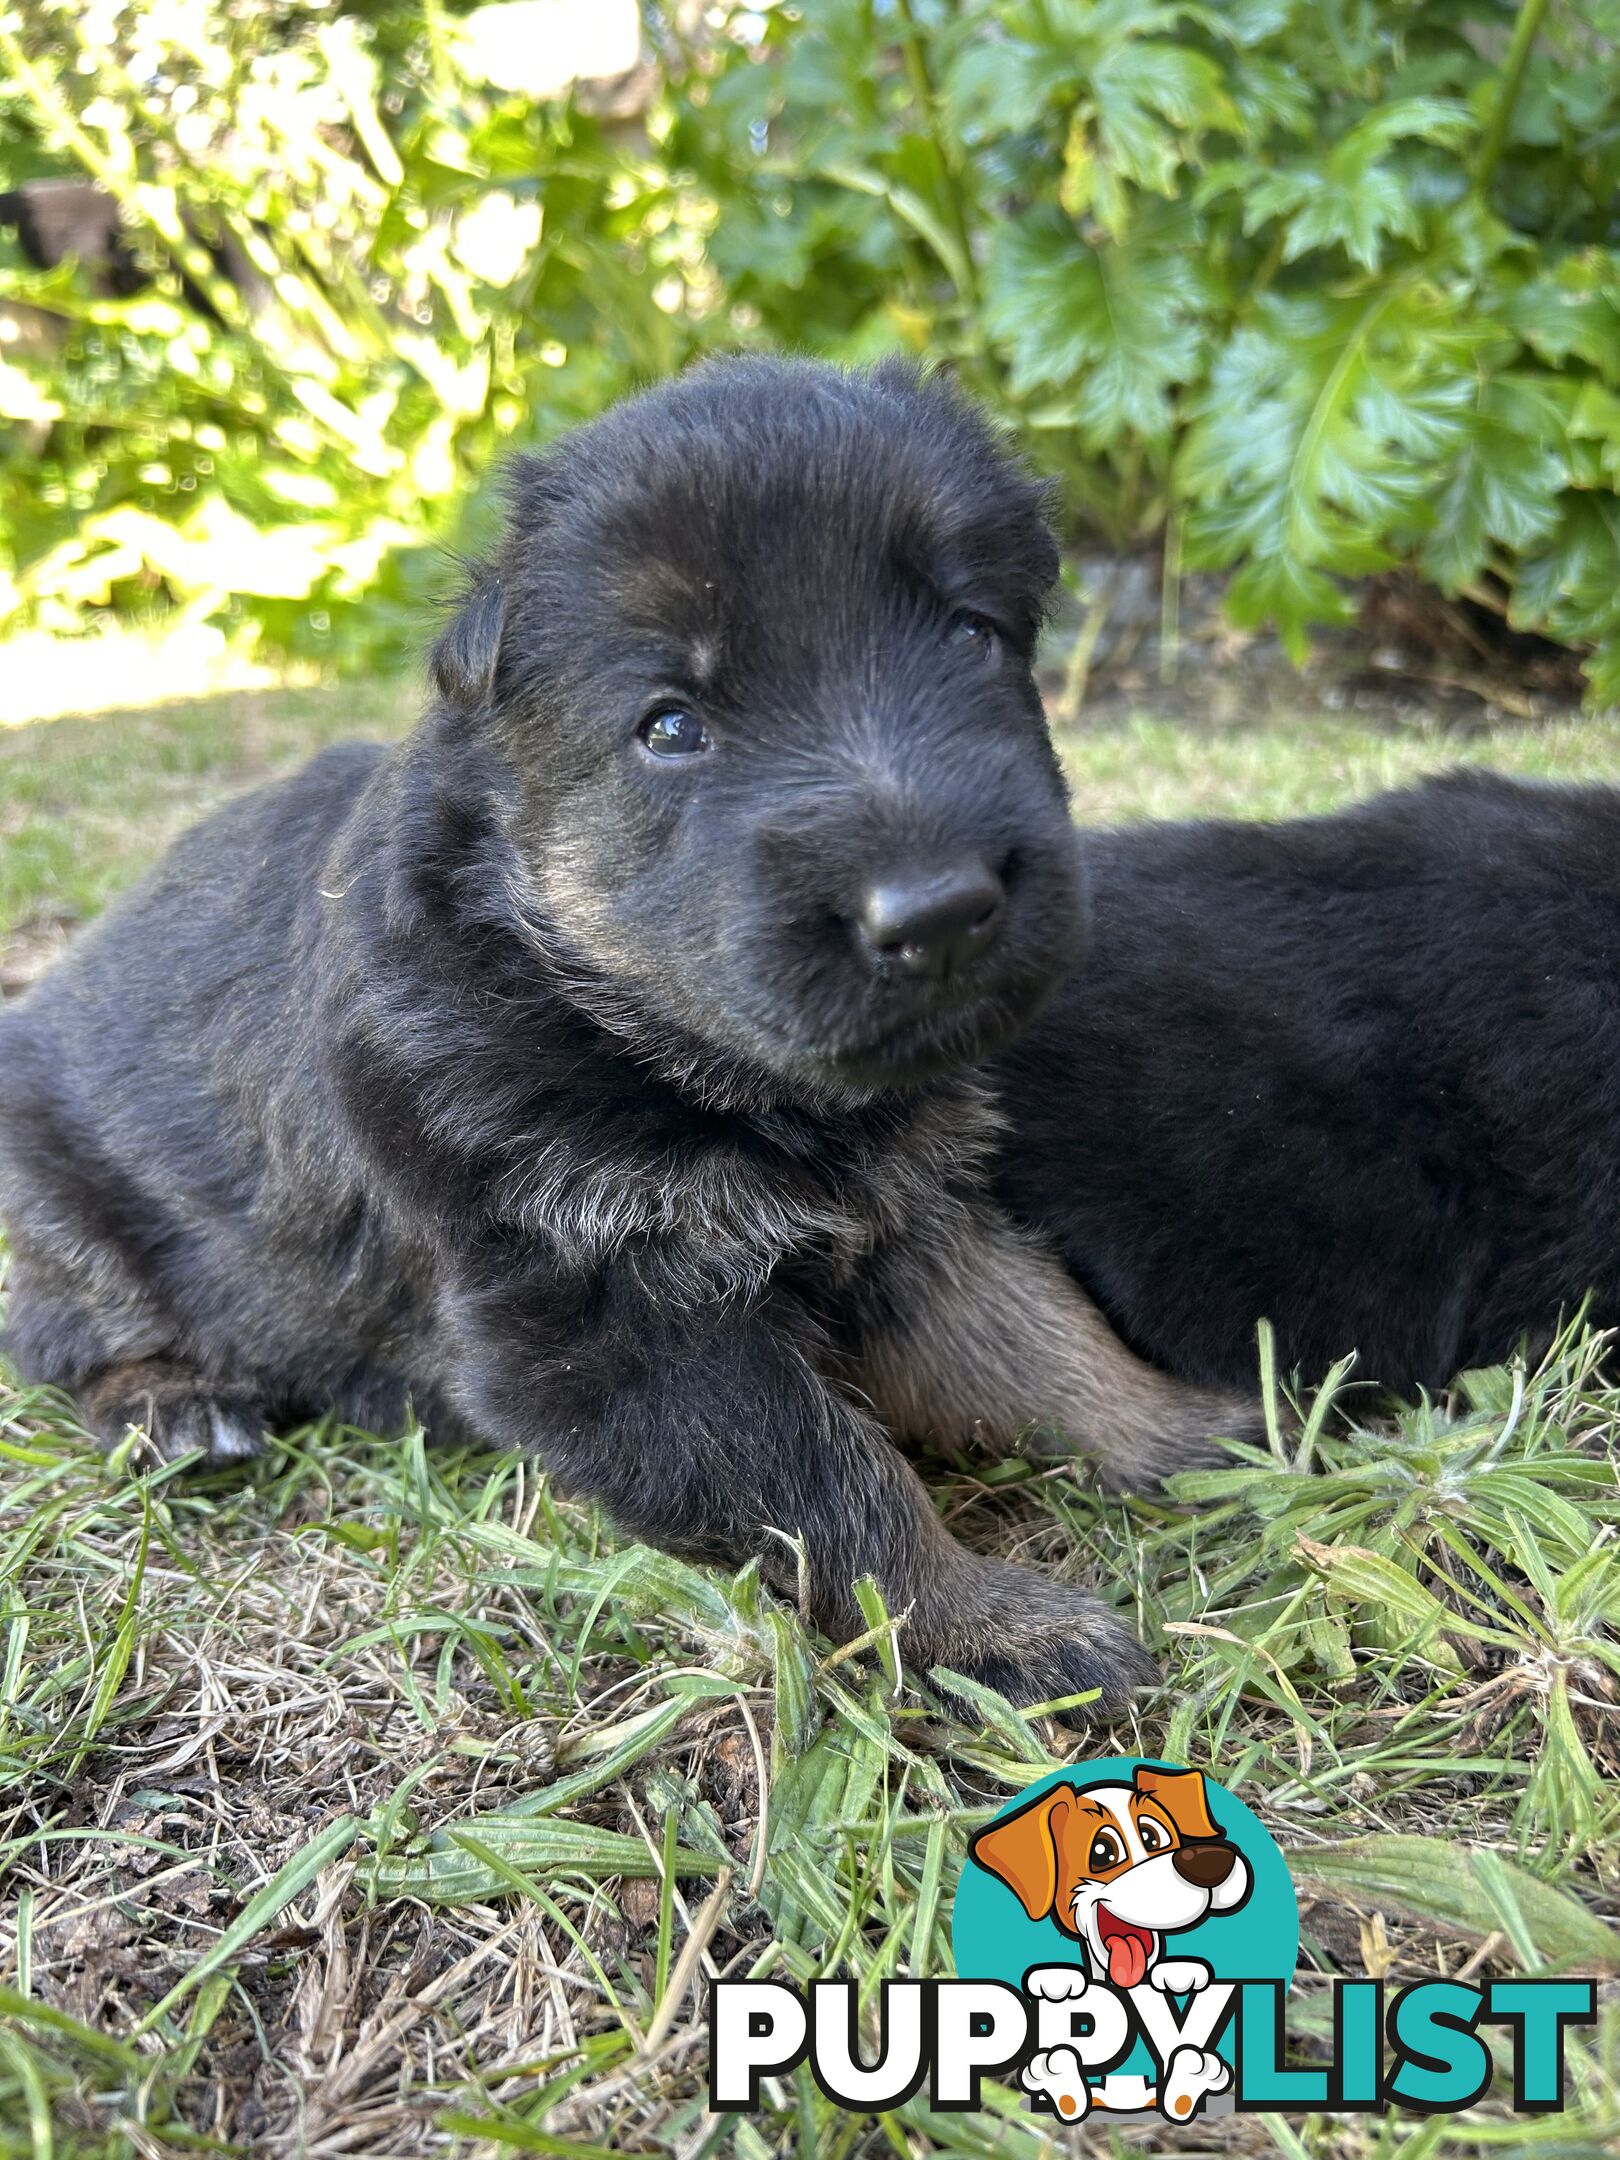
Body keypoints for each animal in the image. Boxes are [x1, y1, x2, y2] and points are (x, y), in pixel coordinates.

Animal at [0, 358, 1252, 1719]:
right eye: (670, 726)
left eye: (973, 634)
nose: (940, 912)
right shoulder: (612, 1324)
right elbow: (835, 1482)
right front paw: (984, 1623)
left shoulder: (912, 1216)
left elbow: (1043, 1335)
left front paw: (1207, 1434)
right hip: (58, 1202)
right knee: (67, 1331)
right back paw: (181, 1405)